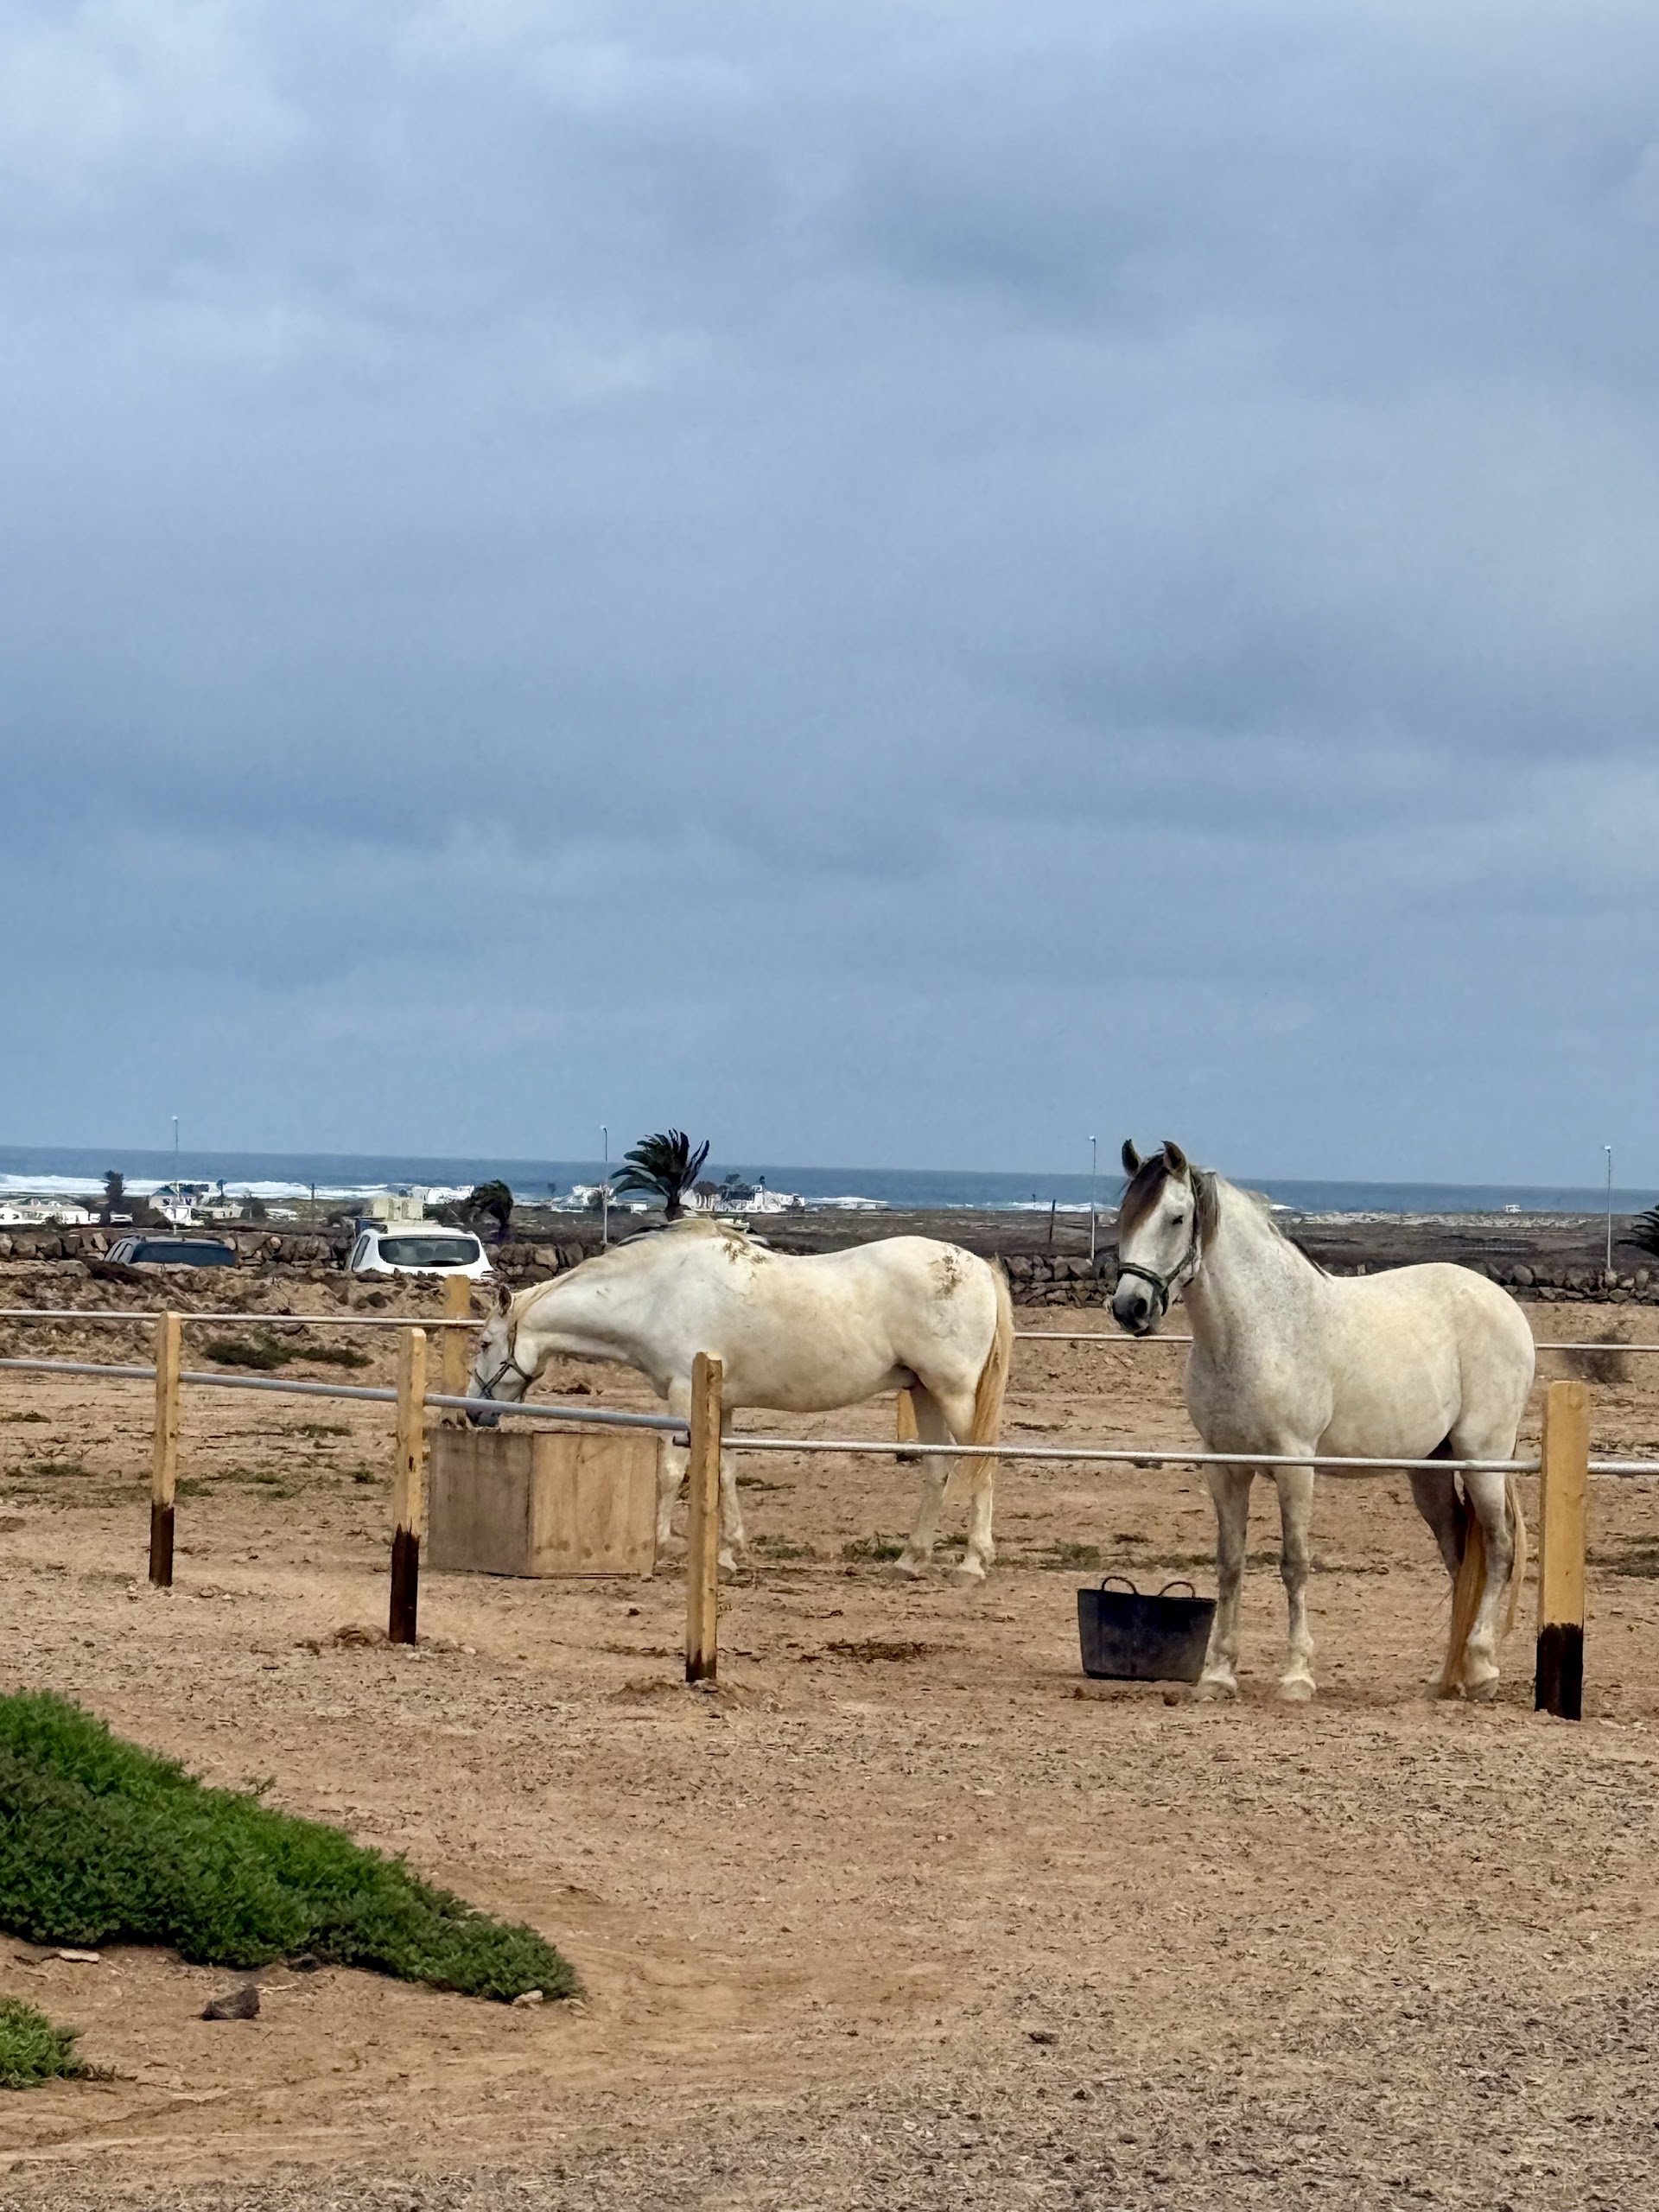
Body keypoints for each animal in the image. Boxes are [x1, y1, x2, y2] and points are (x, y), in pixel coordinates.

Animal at [467, 1218, 1014, 1582]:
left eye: (485, 1343)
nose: (475, 1411)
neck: (657, 1294)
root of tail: (980, 1268)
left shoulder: (682, 1395)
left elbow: (671, 1471)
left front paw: (662, 1547)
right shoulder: (721, 1402)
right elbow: (724, 1469)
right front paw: (728, 1552)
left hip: (954, 1394)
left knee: (980, 1465)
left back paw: (972, 1564)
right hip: (923, 1391)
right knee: (937, 1469)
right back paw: (910, 1560)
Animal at [1111, 1139, 1532, 1702]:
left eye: (1176, 1218)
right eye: (1127, 1216)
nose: (1130, 1308)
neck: (1258, 1331)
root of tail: (1503, 1302)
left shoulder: (1295, 1466)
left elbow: (1295, 1564)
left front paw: (1297, 1677)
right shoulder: (1224, 1467)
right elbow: (1230, 1564)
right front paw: (1218, 1675)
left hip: (1483, 1459)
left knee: (1500, 1547)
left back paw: (1483, 1670)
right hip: (1430, 1472)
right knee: (1461, 1556)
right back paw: (1448, 1680)